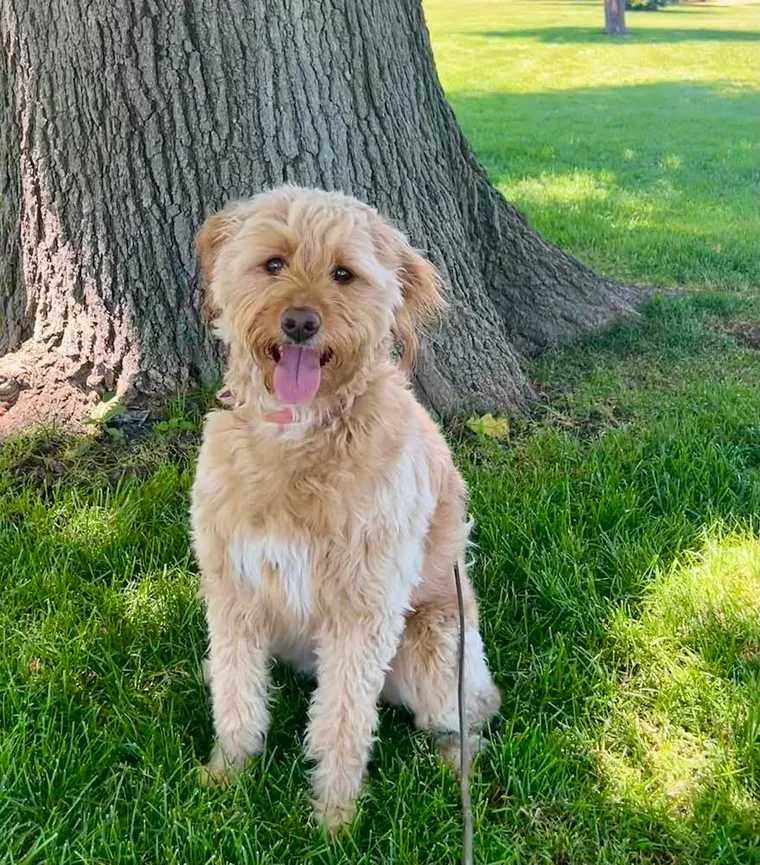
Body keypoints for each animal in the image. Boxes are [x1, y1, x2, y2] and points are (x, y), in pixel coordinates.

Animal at [189, 187, 498, 832]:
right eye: (274, 263)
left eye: (343, 274)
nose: (300, 323)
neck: (297, 431)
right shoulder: (233, 592)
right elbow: (237, 697)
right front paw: (227, 777)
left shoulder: (363, 610)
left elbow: (342, 721)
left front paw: (334, 817)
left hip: (438, 650)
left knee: (471, 718)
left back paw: (454, 766)